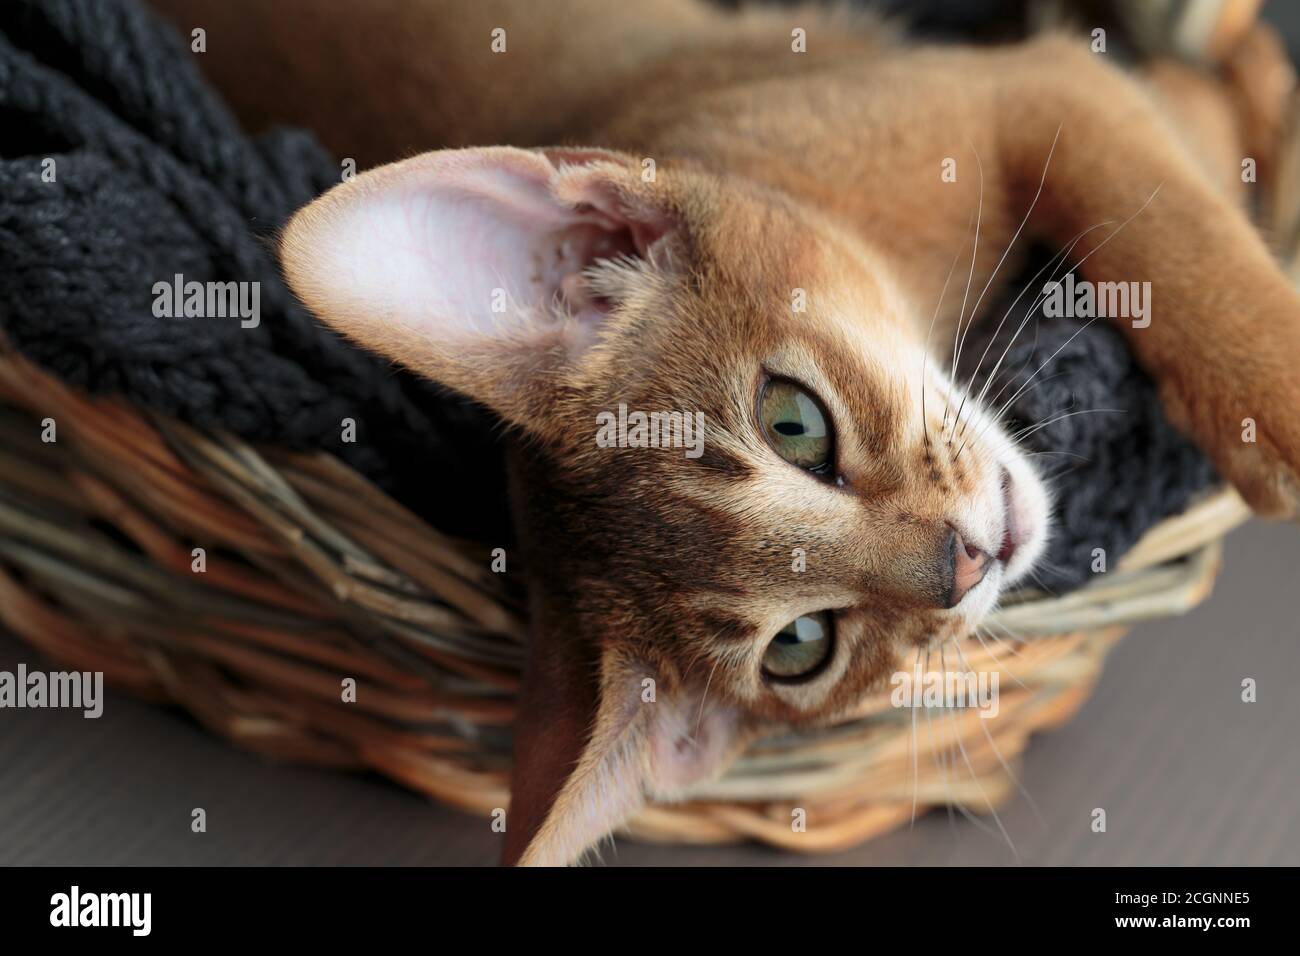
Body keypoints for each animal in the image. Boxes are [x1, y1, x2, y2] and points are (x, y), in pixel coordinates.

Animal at [149, 0, 1300, 868]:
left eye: (793, 422)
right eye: (801, 647)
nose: (965, 561)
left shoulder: (1032, 86)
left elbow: (1171, 220)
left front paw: (1274, 395)